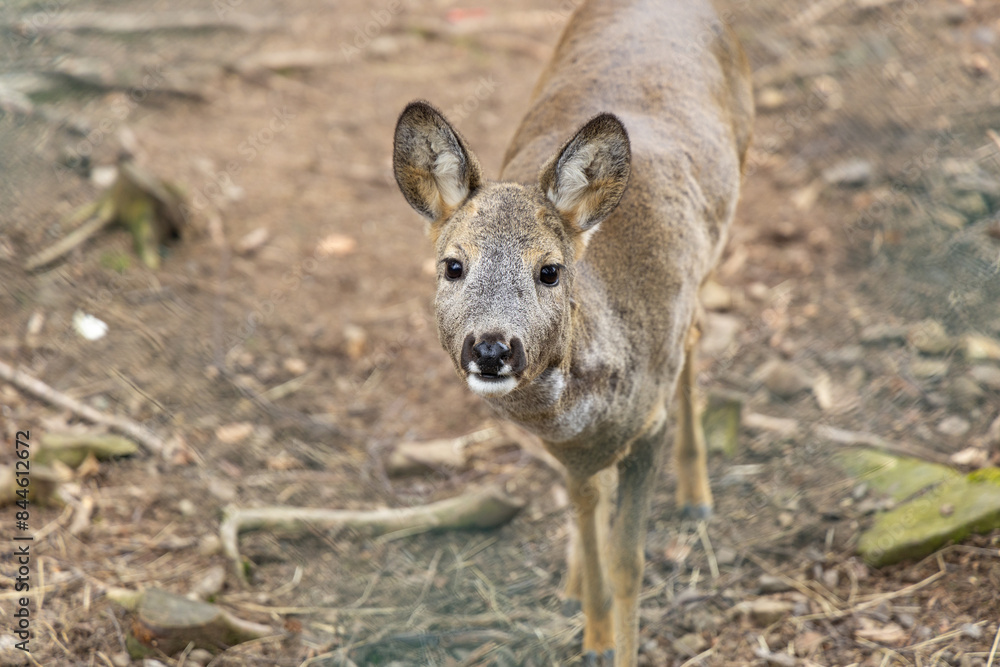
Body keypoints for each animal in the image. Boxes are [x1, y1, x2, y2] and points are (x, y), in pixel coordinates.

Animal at [391, 0, 752, 664]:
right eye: (453, 265)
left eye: (550, 270)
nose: (491, 348)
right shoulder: (571, 454)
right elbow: (589, 521)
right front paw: (592, 632)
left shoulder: (647, 425)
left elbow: (629, 563)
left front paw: (620, 643)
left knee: (695, 336)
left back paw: (696, 496)